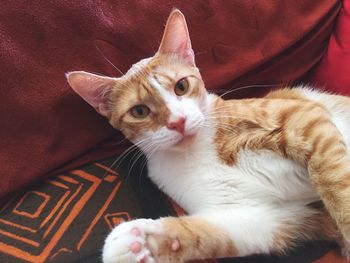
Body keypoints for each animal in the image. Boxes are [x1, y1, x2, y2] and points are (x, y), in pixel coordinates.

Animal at [66, 8, 350, 263]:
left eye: (181, 86)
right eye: (139, 111)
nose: (177, 122)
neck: (196, 153)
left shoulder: (302, 116)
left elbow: (336, 181)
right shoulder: (261, 217)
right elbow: (203, 235)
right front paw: (137, 242)